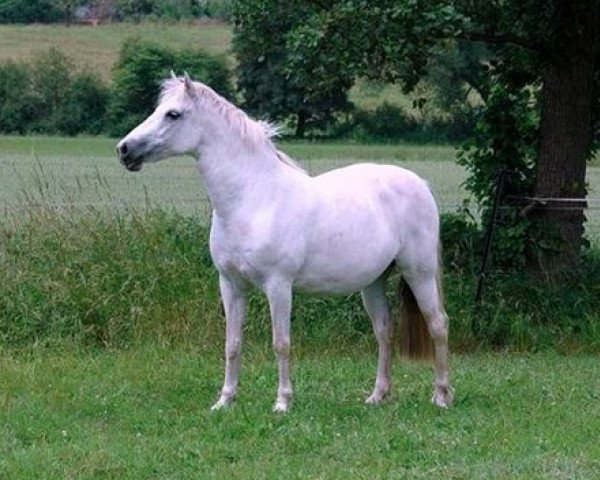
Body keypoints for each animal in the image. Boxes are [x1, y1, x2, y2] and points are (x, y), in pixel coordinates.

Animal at [117, 75, 452, 412]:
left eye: (173, 114)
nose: (124, 149)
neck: (254, 199)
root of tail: (421, 184)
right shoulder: (231, 285)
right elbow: (232, 344)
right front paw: (224, 401)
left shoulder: (278, 286)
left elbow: (281, 344)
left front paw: (282, 402)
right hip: (373, 281)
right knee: (384, 331)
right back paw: (377, 396)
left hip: (419, 273)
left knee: (438, 325)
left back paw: (442, 395)